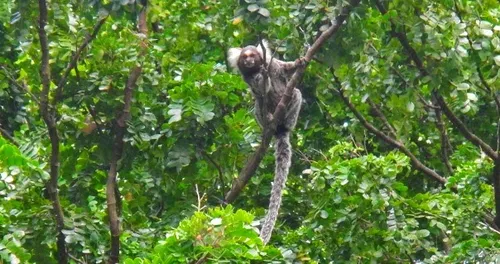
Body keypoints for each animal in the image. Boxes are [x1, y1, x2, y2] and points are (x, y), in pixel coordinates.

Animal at [228, 40, 304, 244]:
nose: (249, 61)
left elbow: (285, 68)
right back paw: (269, 118)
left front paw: (299, 63)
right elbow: (260, 89)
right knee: (258, 104)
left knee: (296, 93)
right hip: (262, 115)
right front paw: (262, 77)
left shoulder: (274, 64)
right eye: (244, 57)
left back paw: (285, 124)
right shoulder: (249, 79)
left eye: (252, 55)